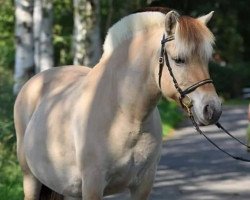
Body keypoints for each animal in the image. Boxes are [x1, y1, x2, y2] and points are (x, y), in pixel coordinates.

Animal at [14, 9, 221, 200]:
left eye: (206, 59)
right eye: (179, 60)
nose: (212, 109)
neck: (125, 114)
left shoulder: (143, 184)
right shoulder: (93, 185)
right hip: (30, 178)